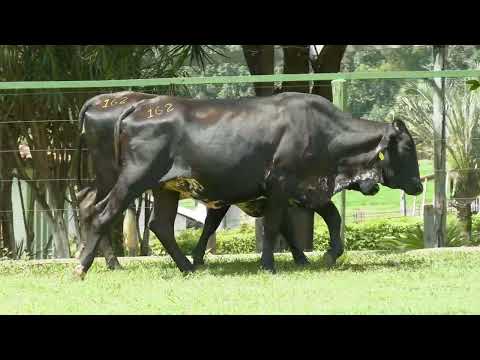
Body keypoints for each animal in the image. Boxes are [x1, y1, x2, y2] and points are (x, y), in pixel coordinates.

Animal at [74, 91, 420, 278]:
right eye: (407, 147)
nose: (418, 186)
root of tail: (138, 106)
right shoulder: (281, 186)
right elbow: (274, 227)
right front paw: (270, 264)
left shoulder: (306, 189)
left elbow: (331, 219)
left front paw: (325, 255)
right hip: (130, 179)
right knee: (101, 213)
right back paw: (84, 267)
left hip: (165, 187)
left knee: (159, 224)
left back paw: (188, 267)